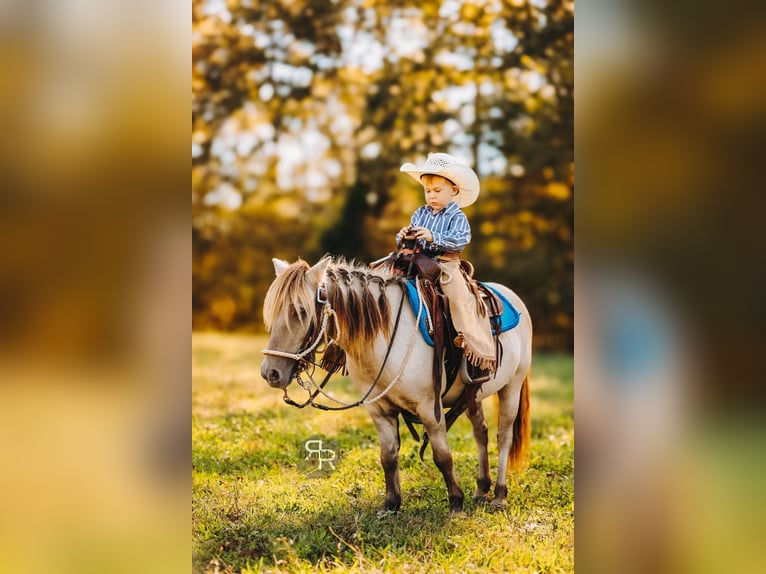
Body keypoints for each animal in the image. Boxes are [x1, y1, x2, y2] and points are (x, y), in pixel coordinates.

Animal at [260, 256, 532, 513]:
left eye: (300, 312)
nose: (270, 373)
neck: (387, 335)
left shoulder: (429, 407)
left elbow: (442, 455)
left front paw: (456, 503)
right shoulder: (379, 410)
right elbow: (388, 457)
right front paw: (391, 504)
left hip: (512, 386)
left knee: (504, 436)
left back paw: (499, 495)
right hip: (472, 395)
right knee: (481, 432)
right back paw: (482, 489)